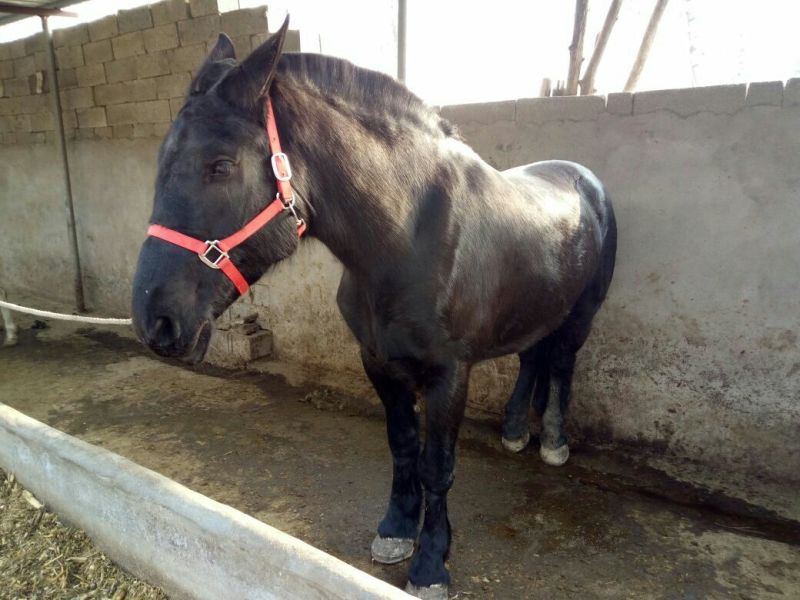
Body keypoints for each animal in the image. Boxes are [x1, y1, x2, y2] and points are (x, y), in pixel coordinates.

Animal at [131, 18, 616, 599]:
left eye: (221, 166)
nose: (154, 320)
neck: (407, 238)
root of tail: (582, 178)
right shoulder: (378, 362)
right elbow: (402, 445)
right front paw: (396, 531)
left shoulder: (450, 374)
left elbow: (437, 466)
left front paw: (430, 563)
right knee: (532, 358)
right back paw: (518, 431)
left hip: (582, 315)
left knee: (561, 363)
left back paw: (555, 443)